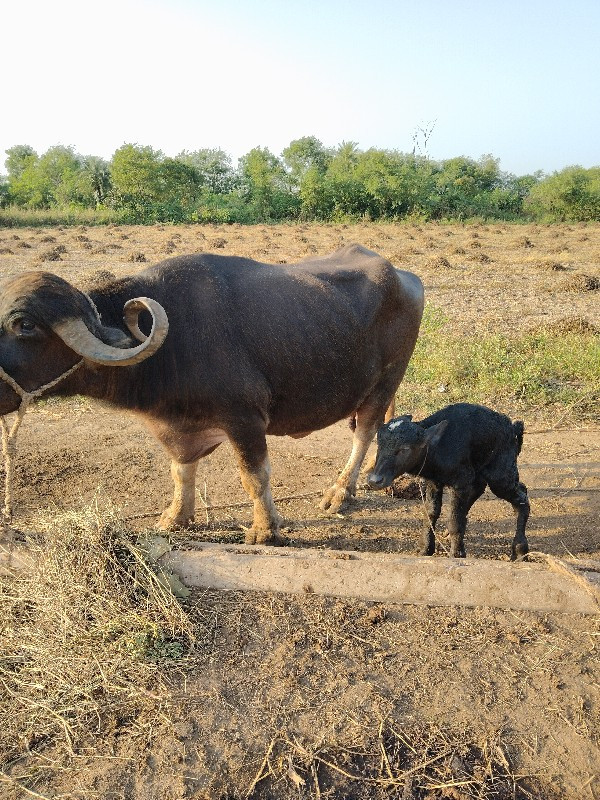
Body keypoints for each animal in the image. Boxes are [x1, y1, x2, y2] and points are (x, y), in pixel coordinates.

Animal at [0, 244, 422, 544]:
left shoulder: (245, 418)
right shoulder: (176, 428)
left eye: (24, 325)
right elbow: (181, 471)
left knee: (365, 433)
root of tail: (405, 277)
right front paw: (176, 517)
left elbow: (254, 476)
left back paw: (341, 491)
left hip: (386, 380)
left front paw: (265, 530)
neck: (172, 344)